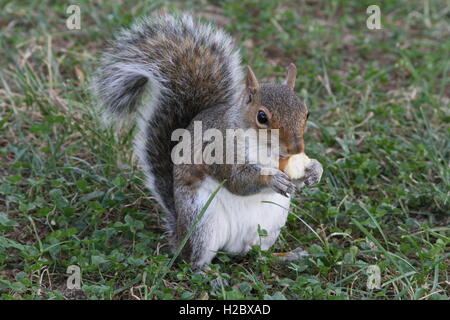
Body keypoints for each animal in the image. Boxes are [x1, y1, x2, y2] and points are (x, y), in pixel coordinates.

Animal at [92, 13, 324, 266]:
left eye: (307, 113)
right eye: (262, 117)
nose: (296, 148)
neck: (265, 148)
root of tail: (179, 234)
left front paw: (315, 170)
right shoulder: (219, 150)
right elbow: (237, 180)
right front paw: (272, 178)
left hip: (271, 224)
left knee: (258, 255)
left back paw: (286, 256)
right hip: (203, 220)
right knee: (196, 260)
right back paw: (207, 271)